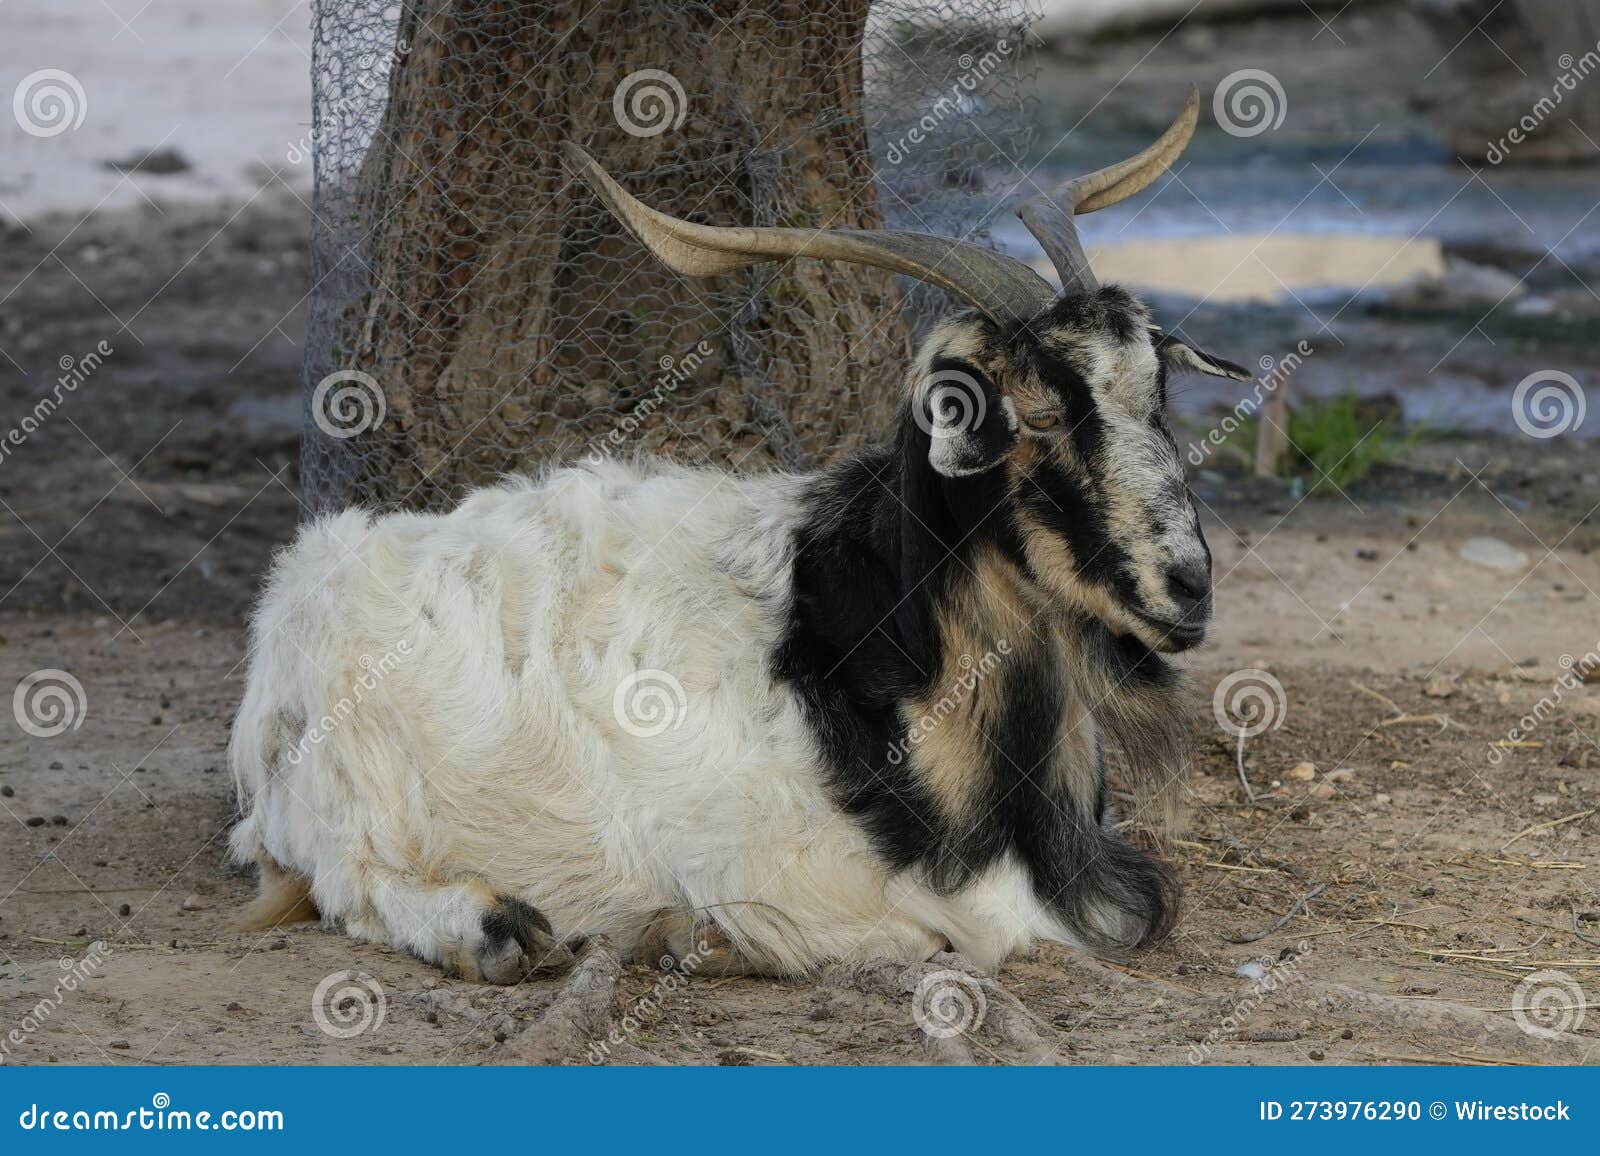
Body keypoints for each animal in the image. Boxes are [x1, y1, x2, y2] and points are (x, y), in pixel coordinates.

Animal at [228, 85, 1251, 982]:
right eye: (1035, 416)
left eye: (1158, 393)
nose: (1189, 584)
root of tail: (297, 597)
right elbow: (948, 935)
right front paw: (700, 932)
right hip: (352, 789)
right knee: (352, 883)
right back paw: (499, 929)